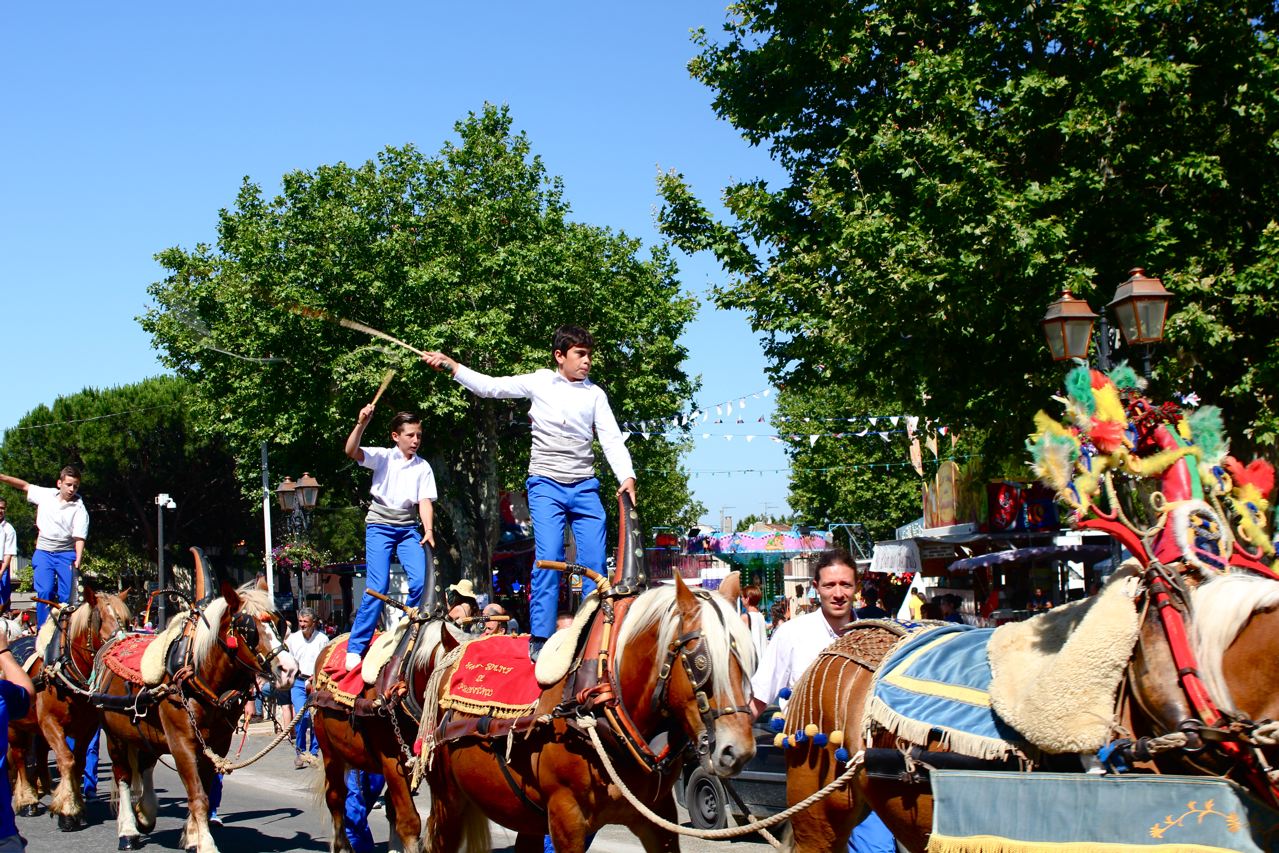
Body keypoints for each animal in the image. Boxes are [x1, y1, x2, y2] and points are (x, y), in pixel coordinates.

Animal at [7, 583, 131, 828]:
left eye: (127, 620)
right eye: (99, 619)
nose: (122, 645)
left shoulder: (88, 727)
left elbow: (79, 761)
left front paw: (74, 804)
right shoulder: (49, 722)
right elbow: (66, 758)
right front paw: (68, 810)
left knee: (37, 753)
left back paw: (43, 786)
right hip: (14, 726)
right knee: (19, 756)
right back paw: (27, 800)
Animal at [94, 580, 296, 853]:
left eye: (279, 622)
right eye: (247, 628)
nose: (289, 670)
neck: (199, 677)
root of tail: (117, 641)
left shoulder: (217, 745)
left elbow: (205, 790)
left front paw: (191, 837)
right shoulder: (182, 744)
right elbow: (197, 794)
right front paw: (206, 843)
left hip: (147, 735)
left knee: (145, 765)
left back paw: (146, 813)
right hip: (115, 736)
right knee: (123, 775)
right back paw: (127, 830)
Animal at [424, 570, 752, 853]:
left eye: (750, 659)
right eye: (700, 661)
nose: (738, 751)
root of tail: (454, 647)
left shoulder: (659, 816)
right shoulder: (566, 819)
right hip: (448, 800)